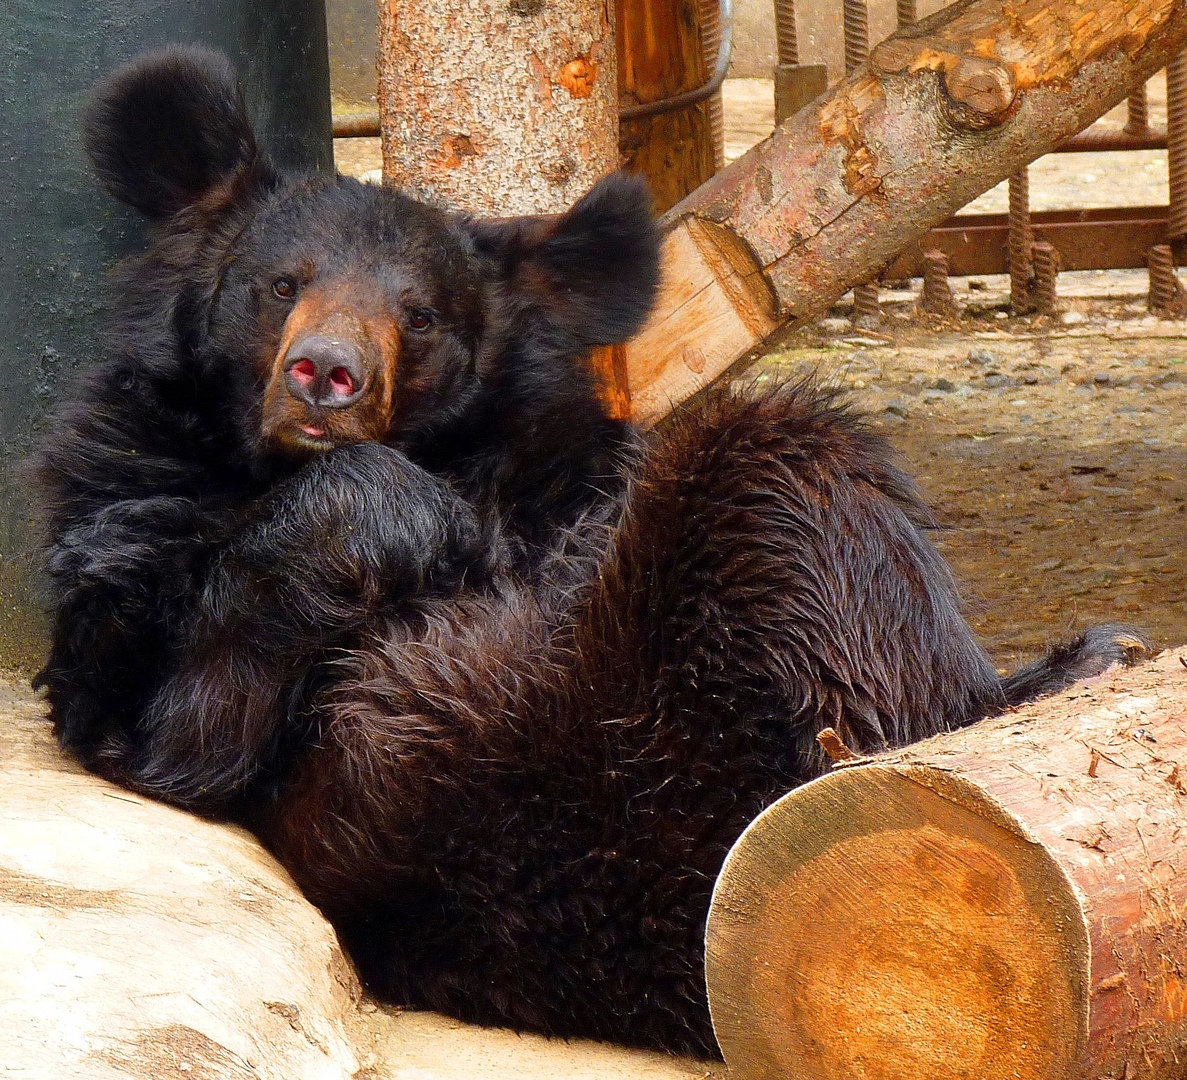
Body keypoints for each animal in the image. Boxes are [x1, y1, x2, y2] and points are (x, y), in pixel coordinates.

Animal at [34, 46, 1147, 1056]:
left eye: (419, 314)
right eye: (279, 284)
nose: (326, 374)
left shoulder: (565, 474)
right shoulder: (137, 514)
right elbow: (173, 727)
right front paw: (407, 517)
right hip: (625, 743)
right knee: (789, 472)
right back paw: (1050, 671)